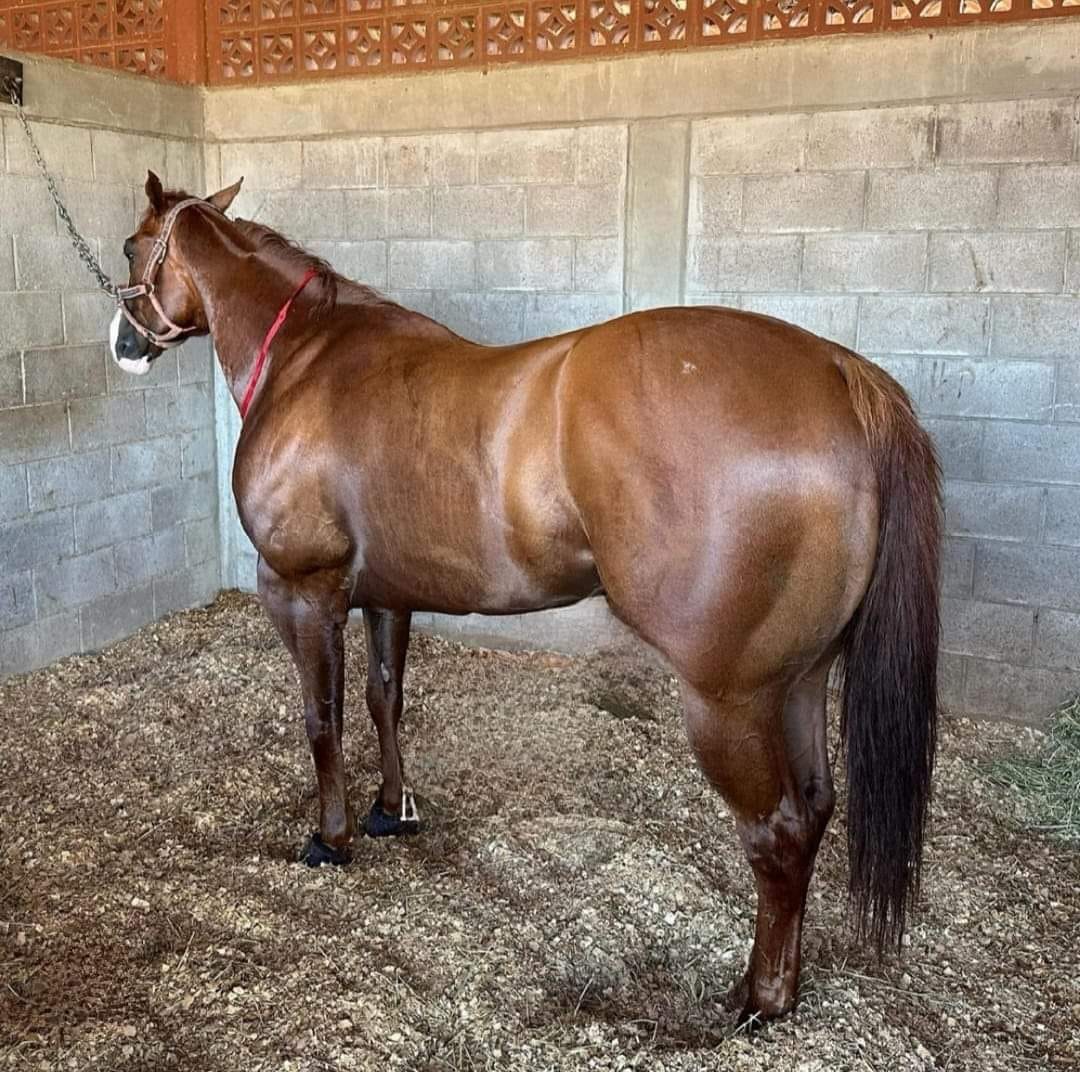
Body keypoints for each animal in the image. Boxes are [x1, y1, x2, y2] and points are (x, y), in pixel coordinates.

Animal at [109, 172, 941, 1025]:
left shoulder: (302, 593)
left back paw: (759, 999)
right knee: (812, 811)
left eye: (133, 247)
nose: (125, 345)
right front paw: (391, 811)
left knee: (774, 834)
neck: (307, 362)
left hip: (730, 701)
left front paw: (330, 838)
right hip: (800, 681)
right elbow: (383, 699)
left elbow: (323, 717)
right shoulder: (386, 595)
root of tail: (840, 375)